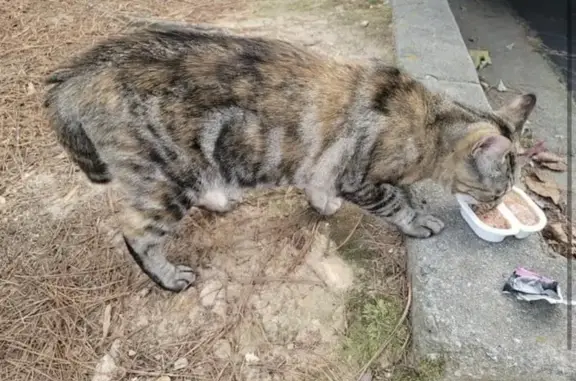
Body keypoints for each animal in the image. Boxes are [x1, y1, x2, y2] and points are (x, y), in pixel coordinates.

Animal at [42, 23, 536, 290]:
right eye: (499, 190)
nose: (495, 206)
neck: (429, 124)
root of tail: (79, 71)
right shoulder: (359, 177)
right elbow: (395, 201)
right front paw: (417, 220)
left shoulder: (321, 165)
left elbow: (316, 185)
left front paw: (323, 205)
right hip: (166, 177)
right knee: (137, 234)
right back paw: (167, 277)